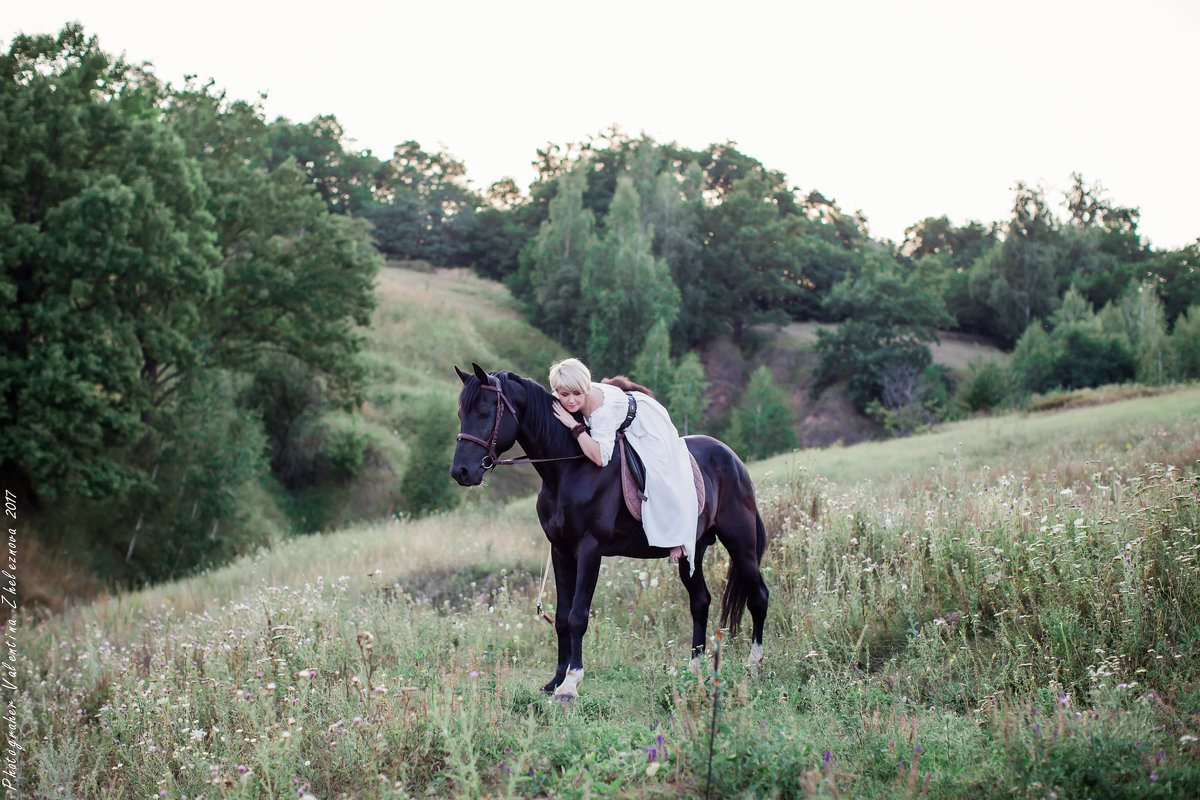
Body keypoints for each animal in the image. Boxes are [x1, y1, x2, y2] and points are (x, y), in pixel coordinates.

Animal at [451, 367, 768, 695]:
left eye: (485, 411)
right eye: (461, 413)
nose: (460, 472)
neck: (570, 468)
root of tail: (734, 459)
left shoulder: (590, 548)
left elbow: (578, 616)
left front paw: (571, 682)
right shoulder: (560, 549)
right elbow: (562, 617)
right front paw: (556, 680)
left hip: (741, 544)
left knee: (758, 597)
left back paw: (753, 666)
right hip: (690, 551)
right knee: (700, 601)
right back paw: (693, 671)